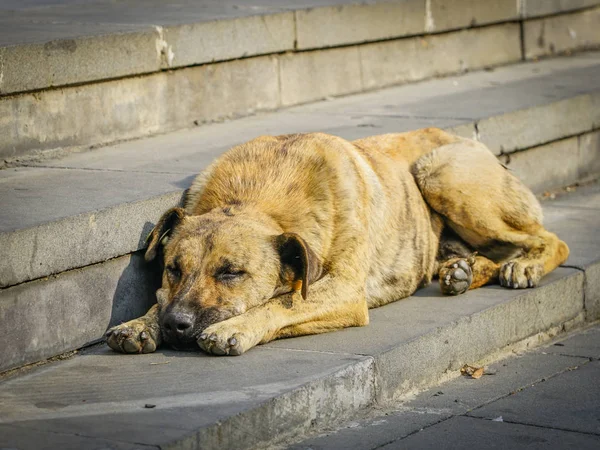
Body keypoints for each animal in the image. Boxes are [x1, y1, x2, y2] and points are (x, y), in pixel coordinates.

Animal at [105, 128, 568, 356]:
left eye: (232, 273)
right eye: (173, 269)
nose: (176, 326)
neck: (256, 195)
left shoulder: (344, 289)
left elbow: (282, 303)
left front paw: (234, 327)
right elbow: (159, 300)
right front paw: (140, 323)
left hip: (441, 174)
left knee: (550, 240)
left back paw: (524, 265)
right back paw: (462, 271)